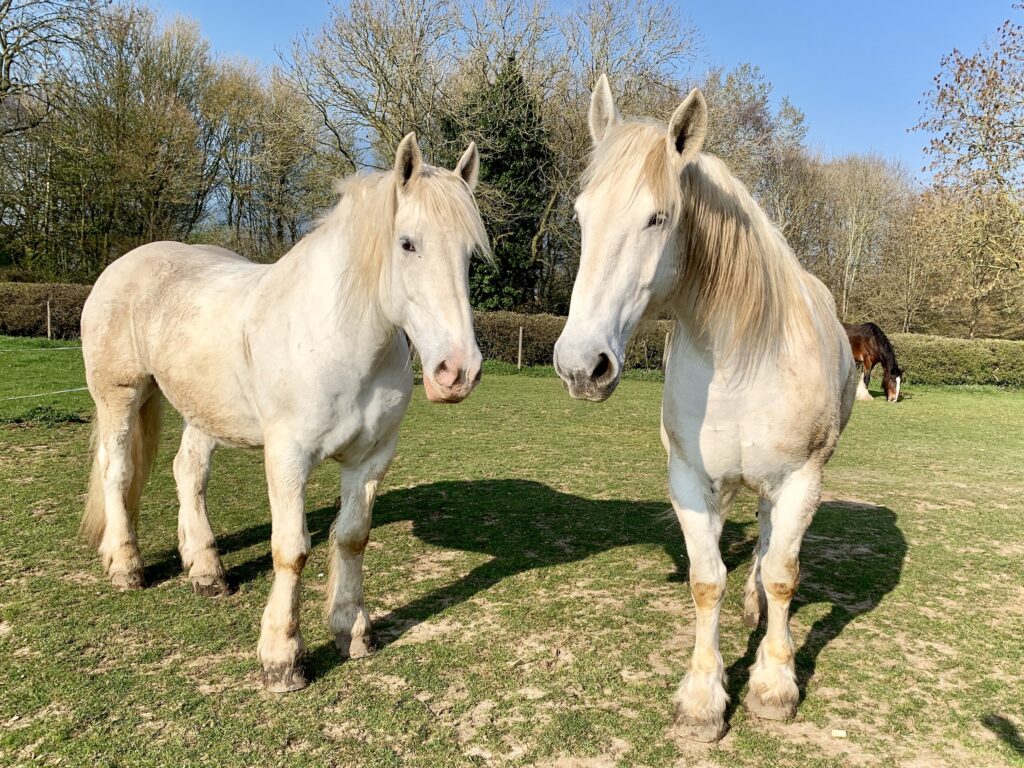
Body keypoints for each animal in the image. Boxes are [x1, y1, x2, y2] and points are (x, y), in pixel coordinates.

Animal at [79, 134, 488, 692]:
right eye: (407, 243)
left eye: (470, 254)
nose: (457, 371)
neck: (338, 339)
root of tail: (123, 266)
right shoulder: (289, 457)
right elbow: (291, 549)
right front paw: (282, 658)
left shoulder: (371, 459)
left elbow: (352, 538)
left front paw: (352, 631)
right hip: (121, 395)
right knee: (118, 473)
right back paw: (126, 566)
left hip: (201, 411)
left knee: (188, 473)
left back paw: (206, 570)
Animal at [553, 76, 857, 742]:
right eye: (581, 216)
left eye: (657, 217)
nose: (581, 366)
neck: (742, 358)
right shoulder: (690, 480)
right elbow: (704, 579)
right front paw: (702, 697)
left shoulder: (801, 480)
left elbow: (782, 573)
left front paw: (773, 685)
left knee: (769, 545)